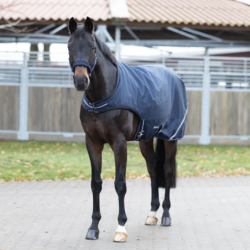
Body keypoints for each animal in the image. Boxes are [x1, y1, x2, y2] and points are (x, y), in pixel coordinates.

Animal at [67, 16, 187, 243]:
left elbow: (120, 184)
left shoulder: (119, 143)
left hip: (171, 138)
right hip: (145, 140)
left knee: (167, 171)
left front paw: (121, 228)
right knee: (153, 169)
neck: (103, 97)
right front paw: (93, 227)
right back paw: (152, 214)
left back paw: (166, 215)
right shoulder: (92, 143)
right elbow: (96, 183)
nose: (81, 81)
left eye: (92, 47)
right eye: (69, 47)